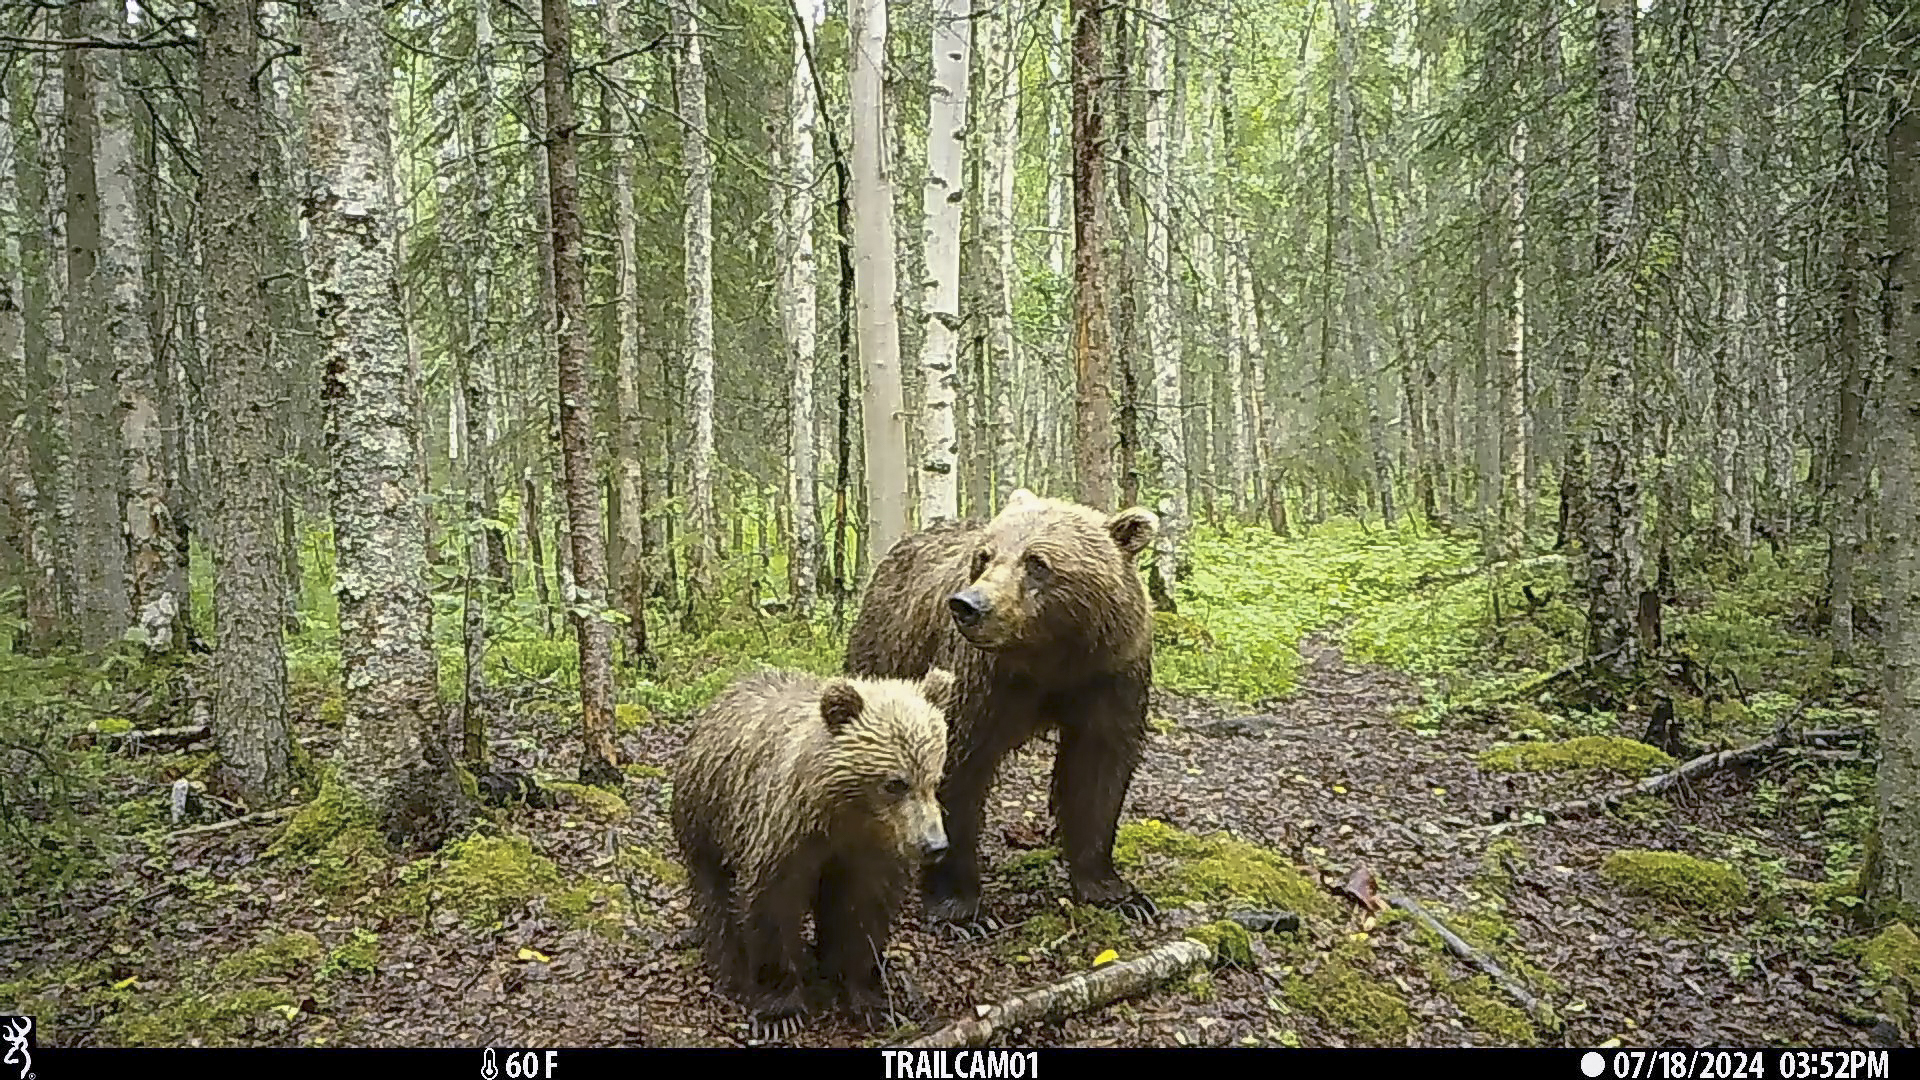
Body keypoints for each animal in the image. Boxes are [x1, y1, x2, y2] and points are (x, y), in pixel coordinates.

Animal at [670, 666, 956, 1040]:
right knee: (715, 893)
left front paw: (867, 999)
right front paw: (780, 1011)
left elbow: (861, 912)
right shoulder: (783, 835)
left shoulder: (868, 852)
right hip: (707, 816)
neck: (842, 814)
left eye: (935, 778)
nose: (934, 845)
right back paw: (730, 967)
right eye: (896, 783)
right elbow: (771, 907)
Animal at [844, 488, 1160, 936]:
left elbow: (1098, 773)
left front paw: (1117, 893)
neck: (1051, 661)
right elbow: (956, 768)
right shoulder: (982, 679)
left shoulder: (1110, 674)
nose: (968, 604)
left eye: (1037, 562)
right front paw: (959, 910)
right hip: (887, 647)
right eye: (984, 556)